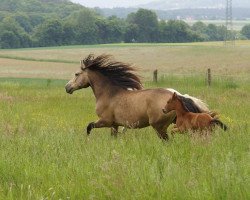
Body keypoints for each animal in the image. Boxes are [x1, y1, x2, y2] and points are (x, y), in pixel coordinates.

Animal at [64, 54, 211, 140]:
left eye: (76, 74)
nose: (67, 87)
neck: (109, 94)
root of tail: (177, 95)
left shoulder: (105, 121)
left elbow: (89, 127)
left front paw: (87, 140)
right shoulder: (115, 125)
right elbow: (113, 137)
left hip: (159, 126)